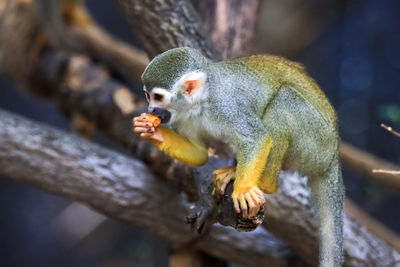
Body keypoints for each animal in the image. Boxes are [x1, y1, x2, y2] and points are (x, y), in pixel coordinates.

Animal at [134, 47, 344, 266]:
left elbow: (256, 137)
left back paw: (263, 184)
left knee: (284, 99)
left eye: (158, 97)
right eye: (148, 96)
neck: (201, 103)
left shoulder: (226, 105)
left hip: (316, 142)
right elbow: (199, 154)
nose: (151, 109)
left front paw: (243, 190)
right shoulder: (184, 119)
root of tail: (333, 156)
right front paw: (151, 132)